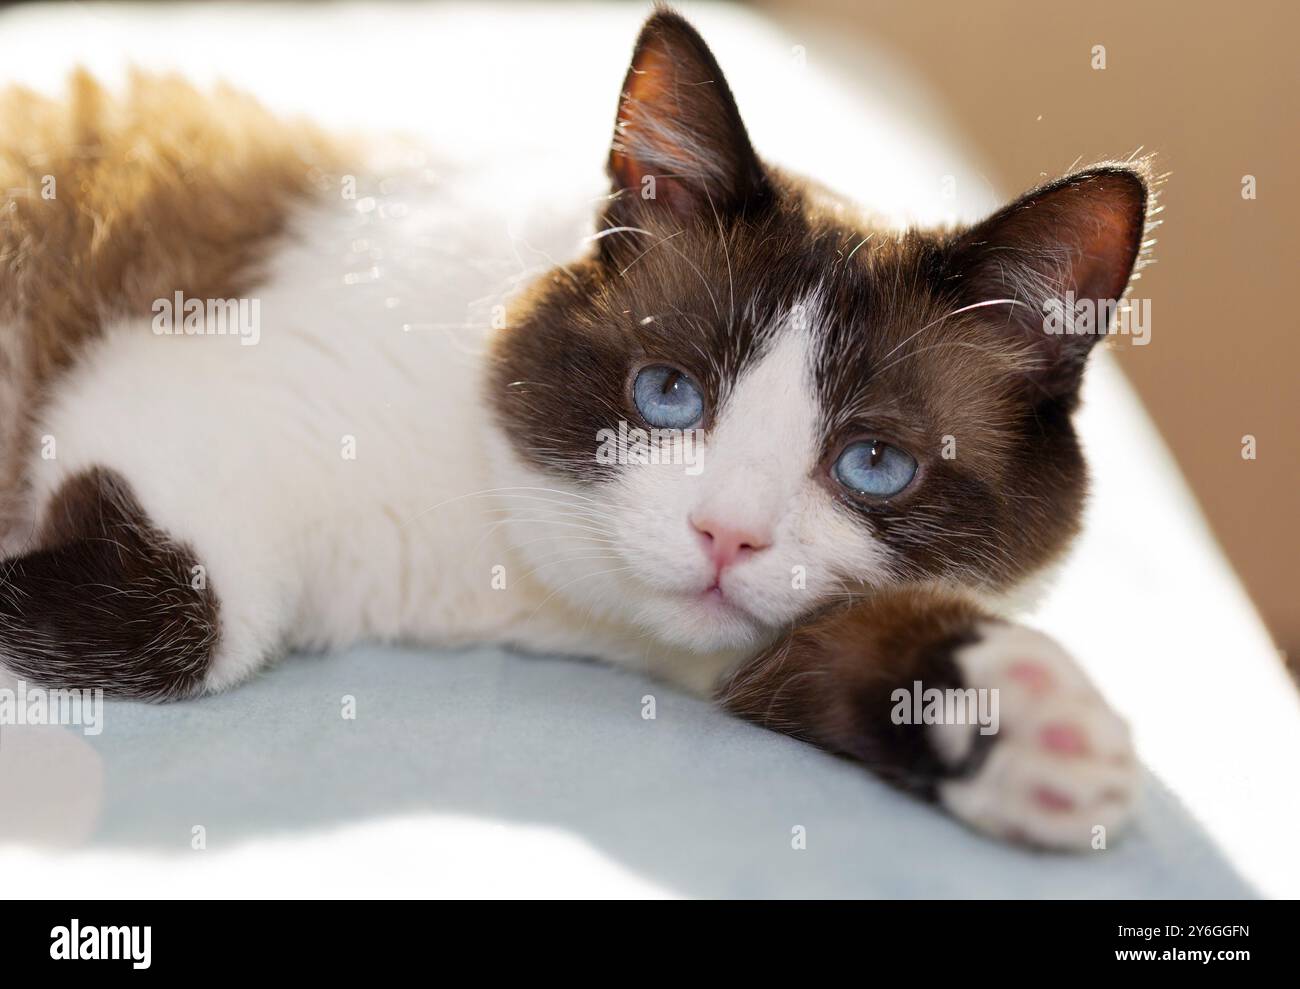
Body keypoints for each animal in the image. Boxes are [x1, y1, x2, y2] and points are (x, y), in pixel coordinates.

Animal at [2, 7, 1159, 847]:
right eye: (668, 394)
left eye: (874, 463)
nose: (725, 536)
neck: (500, 583)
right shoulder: (179, 393)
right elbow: (181, 624)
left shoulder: (724, 650)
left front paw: (1023, 731)